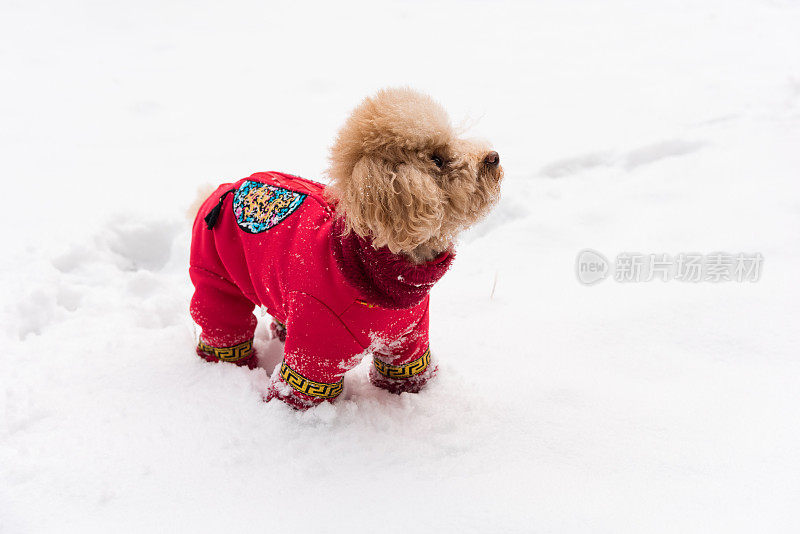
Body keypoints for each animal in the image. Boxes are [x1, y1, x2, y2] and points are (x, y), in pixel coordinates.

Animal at [189, 88, 500, 410]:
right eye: (437, 159)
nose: (494, 157)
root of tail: (223, 188)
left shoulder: (407, 339)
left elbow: (406, 372)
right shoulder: (315, 349)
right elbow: (300, 391)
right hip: (215, 277)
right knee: (222, 322)